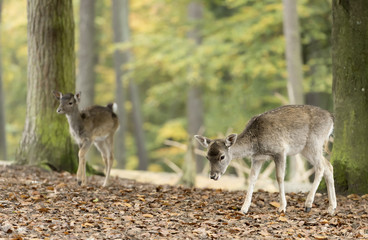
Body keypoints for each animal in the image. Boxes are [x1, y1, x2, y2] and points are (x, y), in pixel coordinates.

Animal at [196, 105, 336, 216]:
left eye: (222, 156)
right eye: (207, 157)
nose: (213, 176)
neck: (256, 144)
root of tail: (331, 118)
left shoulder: (280, 151)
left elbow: (279, 177)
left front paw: (282, 207)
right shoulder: (257, 158)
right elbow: (252, 178)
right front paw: (243, 209)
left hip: (314, 141)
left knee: (320, 167)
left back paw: (308, 204)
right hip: (305, 148)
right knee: (328, 166)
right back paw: (332, 207)